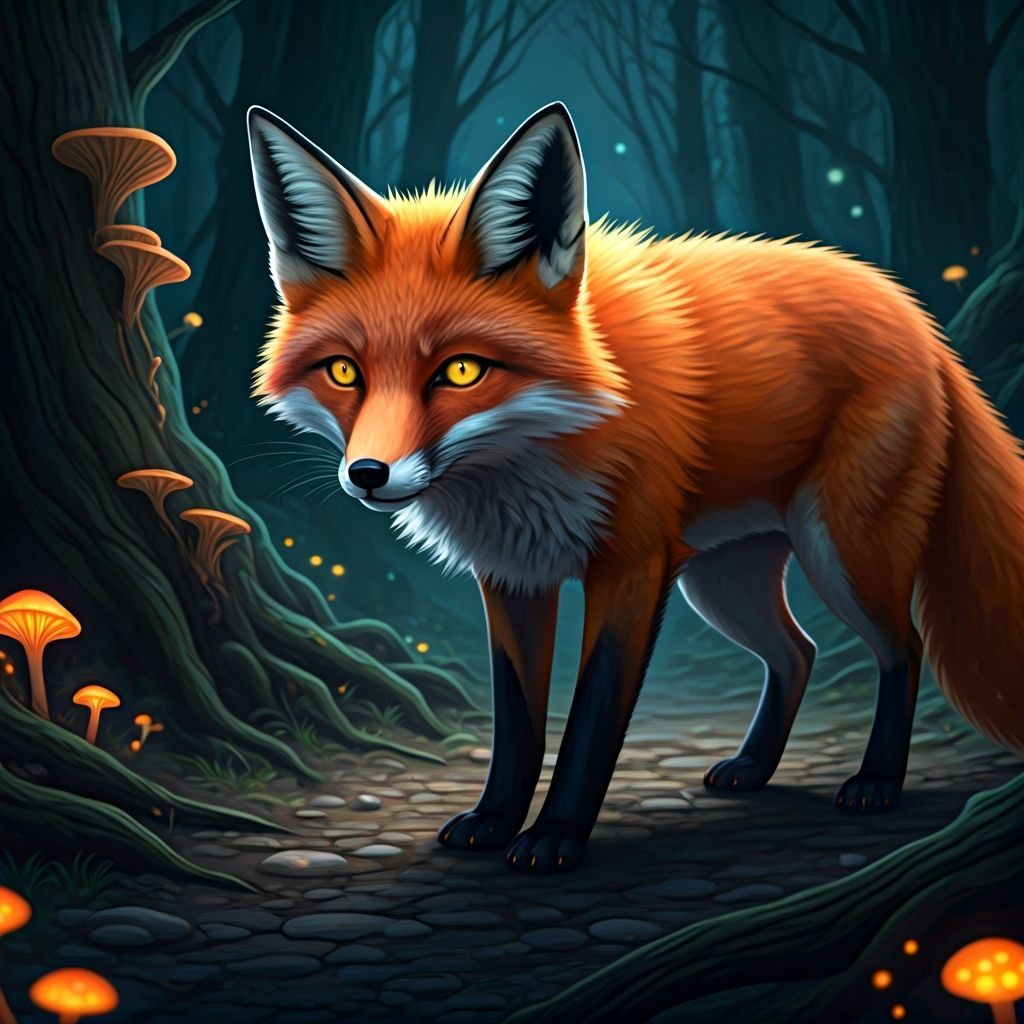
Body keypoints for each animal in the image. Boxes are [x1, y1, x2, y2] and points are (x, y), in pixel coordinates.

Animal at [247, 102, 1024, 872]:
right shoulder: (512, 575)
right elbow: (517, 723)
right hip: (723, 583)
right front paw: (494, 819)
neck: (532, 459)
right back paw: (753, 767)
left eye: (461, 371)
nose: (367, 475)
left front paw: (555, 835)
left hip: (841, 555)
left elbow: (591, 718)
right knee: (796, 652)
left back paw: (877, 782)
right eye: (344, 372)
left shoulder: (631, 568)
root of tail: (916, 317)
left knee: (903, 648)